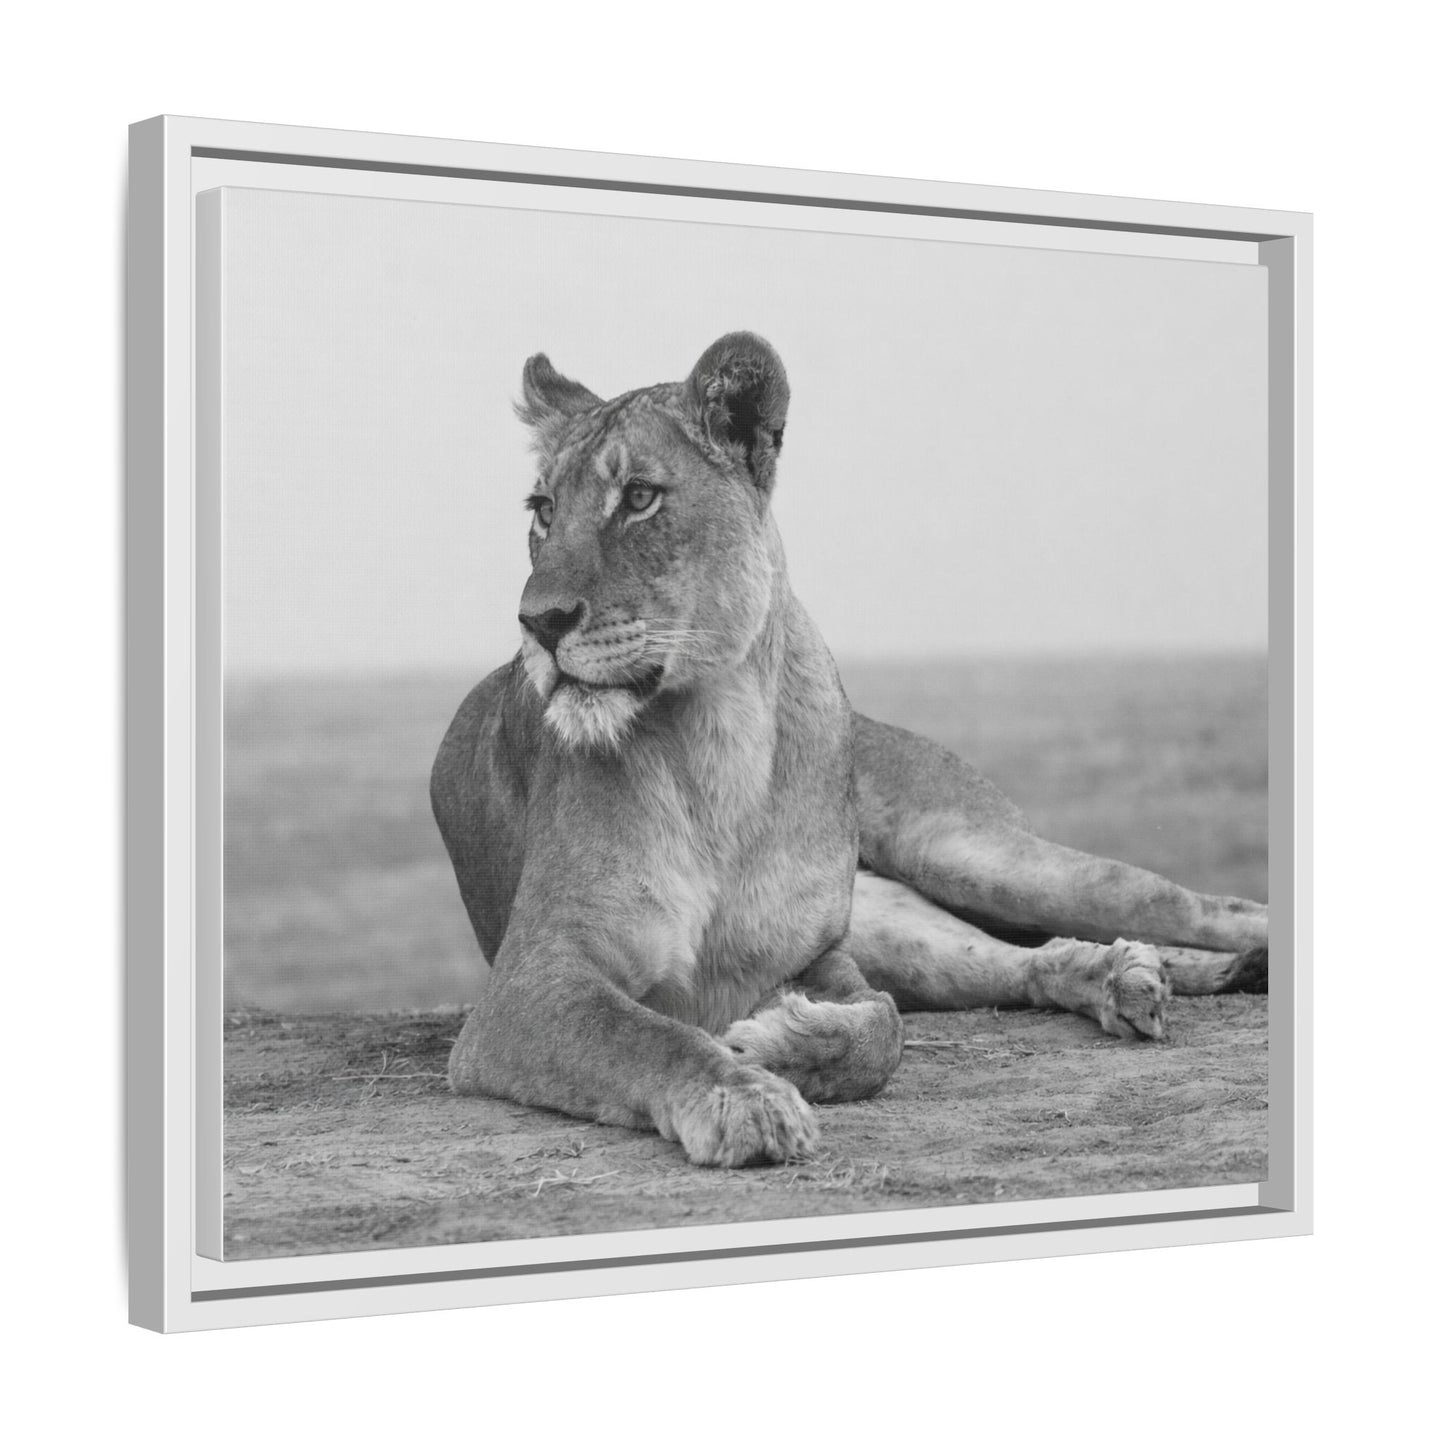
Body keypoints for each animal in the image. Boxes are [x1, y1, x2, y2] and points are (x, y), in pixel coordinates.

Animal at [431, 332, 1268, 1167]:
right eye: (543, 511)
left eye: (639, 497)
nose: (537, 622)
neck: (718, 741)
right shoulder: (531, 982)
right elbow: (646, 1034)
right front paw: (743, 1095)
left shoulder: (815, 956)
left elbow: (882, 1031)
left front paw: (772, 1044)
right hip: (899, 920)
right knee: (1020, 960)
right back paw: (1126, 974)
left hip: (964, 853)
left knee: (1185, 903)